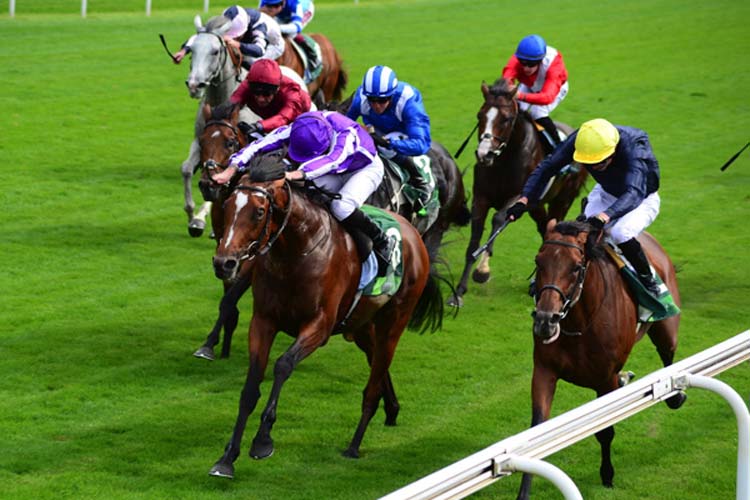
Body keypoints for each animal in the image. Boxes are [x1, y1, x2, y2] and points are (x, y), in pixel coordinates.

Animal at [206, 158, 446, 478]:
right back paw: (392, 408)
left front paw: (262, 441)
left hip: (394, 321)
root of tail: (414, 236)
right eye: (228, 205)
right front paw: (227, 457)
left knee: (374, 380)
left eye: (258, 211)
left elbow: (283, 365)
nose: (224, 263)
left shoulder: (318, 327)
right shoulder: (263, 322)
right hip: (361, 326)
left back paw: (355, 444)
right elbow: (250, 388)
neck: (296, 252)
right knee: (377, 364)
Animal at [450, 77, 592, 308]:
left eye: (506, 119)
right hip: (537, 206)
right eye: (480, 115)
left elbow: (499, 219)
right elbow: (474, 241)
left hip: (562, 200)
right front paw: (459, 292)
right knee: (544, 228)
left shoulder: (519, 197)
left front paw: (482, 271)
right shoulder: (481, 198)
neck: (504, 160)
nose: (484, 154)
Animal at [520, 221, 692, 498]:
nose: (546, 321)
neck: (580, 324)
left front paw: (607, 475)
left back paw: (675, 395)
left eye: (576, 266)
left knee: (668, 354)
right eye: (539, 260)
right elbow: (536, 431)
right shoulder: (544, 371)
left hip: (667, 327)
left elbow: (605, 431)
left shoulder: (603, 379)